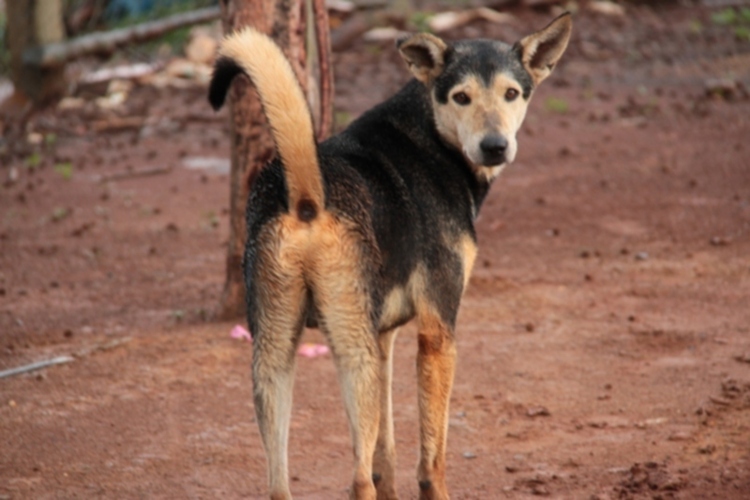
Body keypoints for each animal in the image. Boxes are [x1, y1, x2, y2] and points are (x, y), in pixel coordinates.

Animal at [209, 12, 572, 500]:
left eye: (512, 93)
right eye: (461, 97)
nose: (495, 146)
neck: (430, 134)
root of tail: (307, 196)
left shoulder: (383, 337)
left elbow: (387, 453)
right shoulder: (437, 332)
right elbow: (431, 458)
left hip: (275, 354)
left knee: (281, 482)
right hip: (351, 354)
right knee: (358, 479)